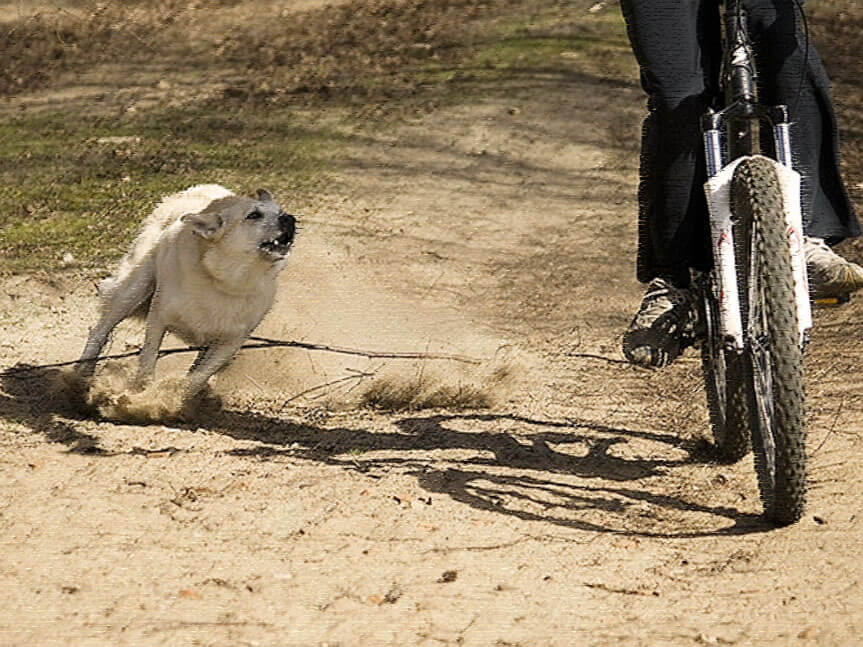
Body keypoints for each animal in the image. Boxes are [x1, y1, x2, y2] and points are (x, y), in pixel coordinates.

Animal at [78, 184, 300, 400]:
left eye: (281, 211)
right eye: (253, 215)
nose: (289, 218)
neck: (225, 281)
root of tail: (196, 188)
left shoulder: (230, 342)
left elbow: (198, 376)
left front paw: (172, 398)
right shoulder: (158, 318)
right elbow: (148, 360)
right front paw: (140, 394)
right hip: (132, 288)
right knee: (100, 330)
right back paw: (81, 375)